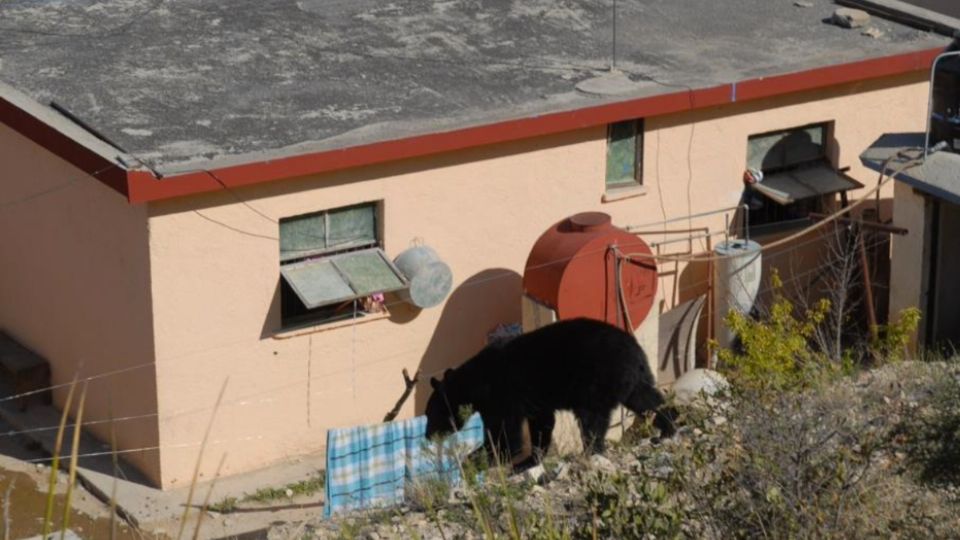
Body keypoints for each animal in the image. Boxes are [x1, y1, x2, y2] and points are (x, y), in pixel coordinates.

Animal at [424, 318, 672, 466]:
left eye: (429, 414)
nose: (427, 435)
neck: (474, 382)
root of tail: (635, 350)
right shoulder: (533, 403)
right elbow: (541, 424)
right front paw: (531, 459)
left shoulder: (501, 395)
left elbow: (506, 434)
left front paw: (479, 457)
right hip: (631, 381)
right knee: (646, 400)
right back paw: (668, 428)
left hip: (597, 379)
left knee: (591, 419)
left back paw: (590, 451)